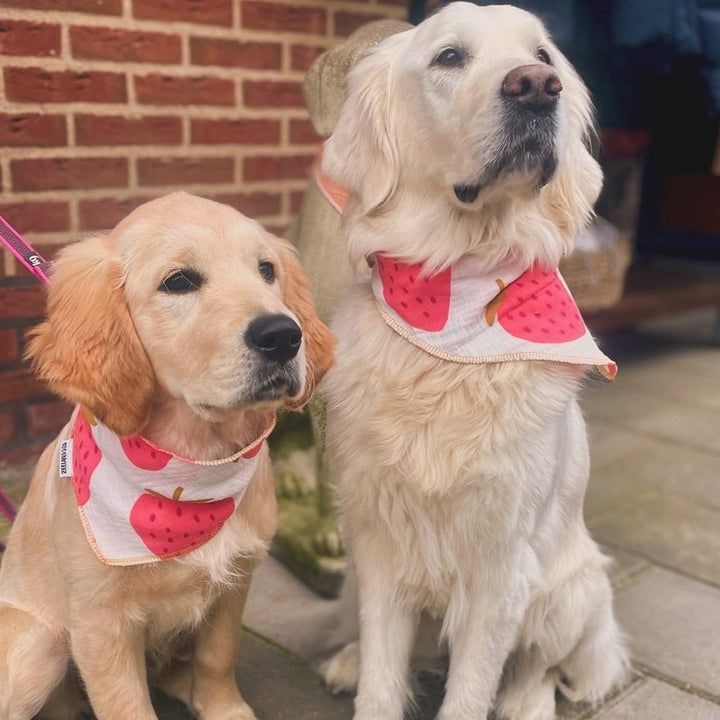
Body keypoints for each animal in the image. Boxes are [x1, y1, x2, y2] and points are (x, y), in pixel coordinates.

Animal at [0, 191, 336, 720]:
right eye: (179, 281)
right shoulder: (100, 622)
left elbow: (218, 658)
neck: (194, 465)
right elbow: (126, 704)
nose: (283, 335)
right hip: (42, 640)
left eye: (267, 270)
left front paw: (223, 709)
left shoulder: (234, 584)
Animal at [320, 4, 632, 720]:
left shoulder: (501, 567)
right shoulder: (380, 540)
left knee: (540, 666)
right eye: (449, 57)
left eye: (542, 55)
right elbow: (383, 668)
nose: (538, 87)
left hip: (566, 591)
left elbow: (473, 686)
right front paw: (367, 677)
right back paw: (346, 659)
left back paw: (526, 702)